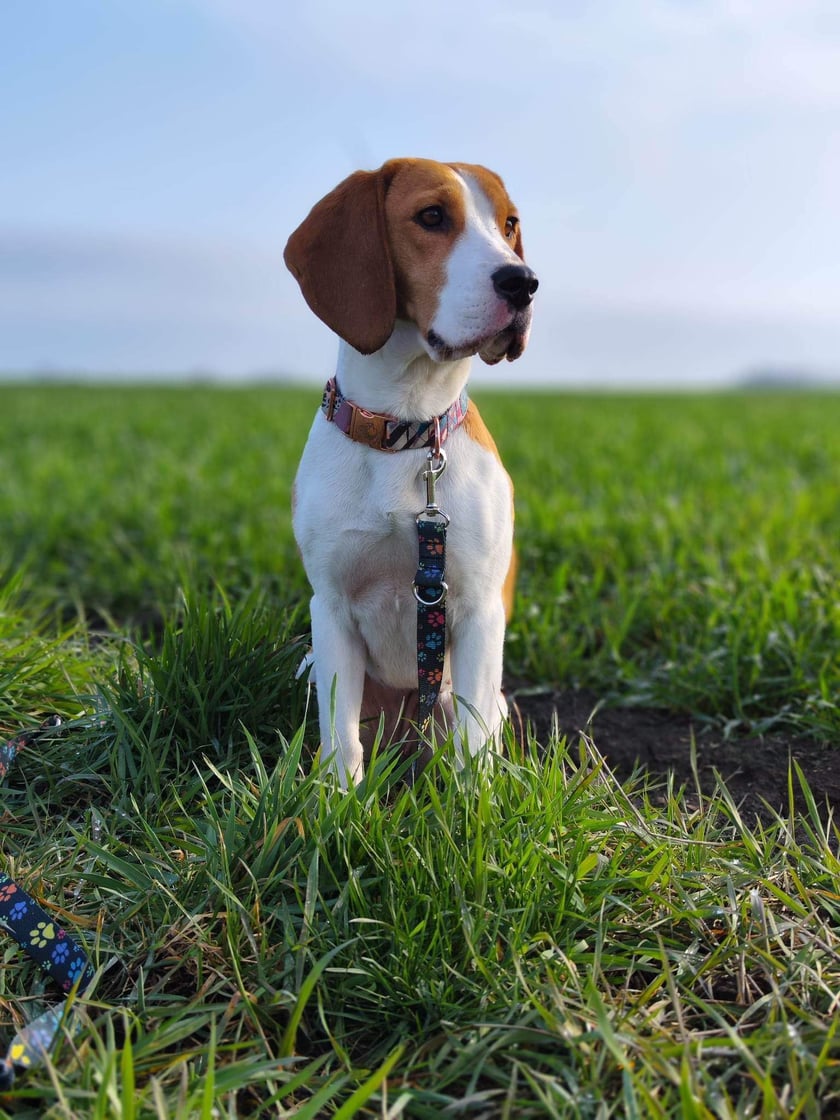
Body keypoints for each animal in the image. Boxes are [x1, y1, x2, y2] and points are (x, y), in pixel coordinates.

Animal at [286, 160, 539, 788]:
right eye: (431, 216)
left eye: (509, 224)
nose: (523, 282)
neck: (407, 428)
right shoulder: (331, 608)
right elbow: (340, 739)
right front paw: (336, 802)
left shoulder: (477, 609)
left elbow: (472, 746)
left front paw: (474, 806)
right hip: (310, 664)